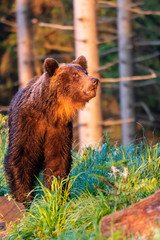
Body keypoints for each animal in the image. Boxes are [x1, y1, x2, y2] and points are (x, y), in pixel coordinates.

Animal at [4, 55, 99, 202]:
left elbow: (57, 160)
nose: (94, 81)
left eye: (86, 72)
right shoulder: (27, 125)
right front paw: (24, 198)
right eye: (75, 74)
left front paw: (56, 194)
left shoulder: (59, 129)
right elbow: (21, 158)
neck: (49, 113)